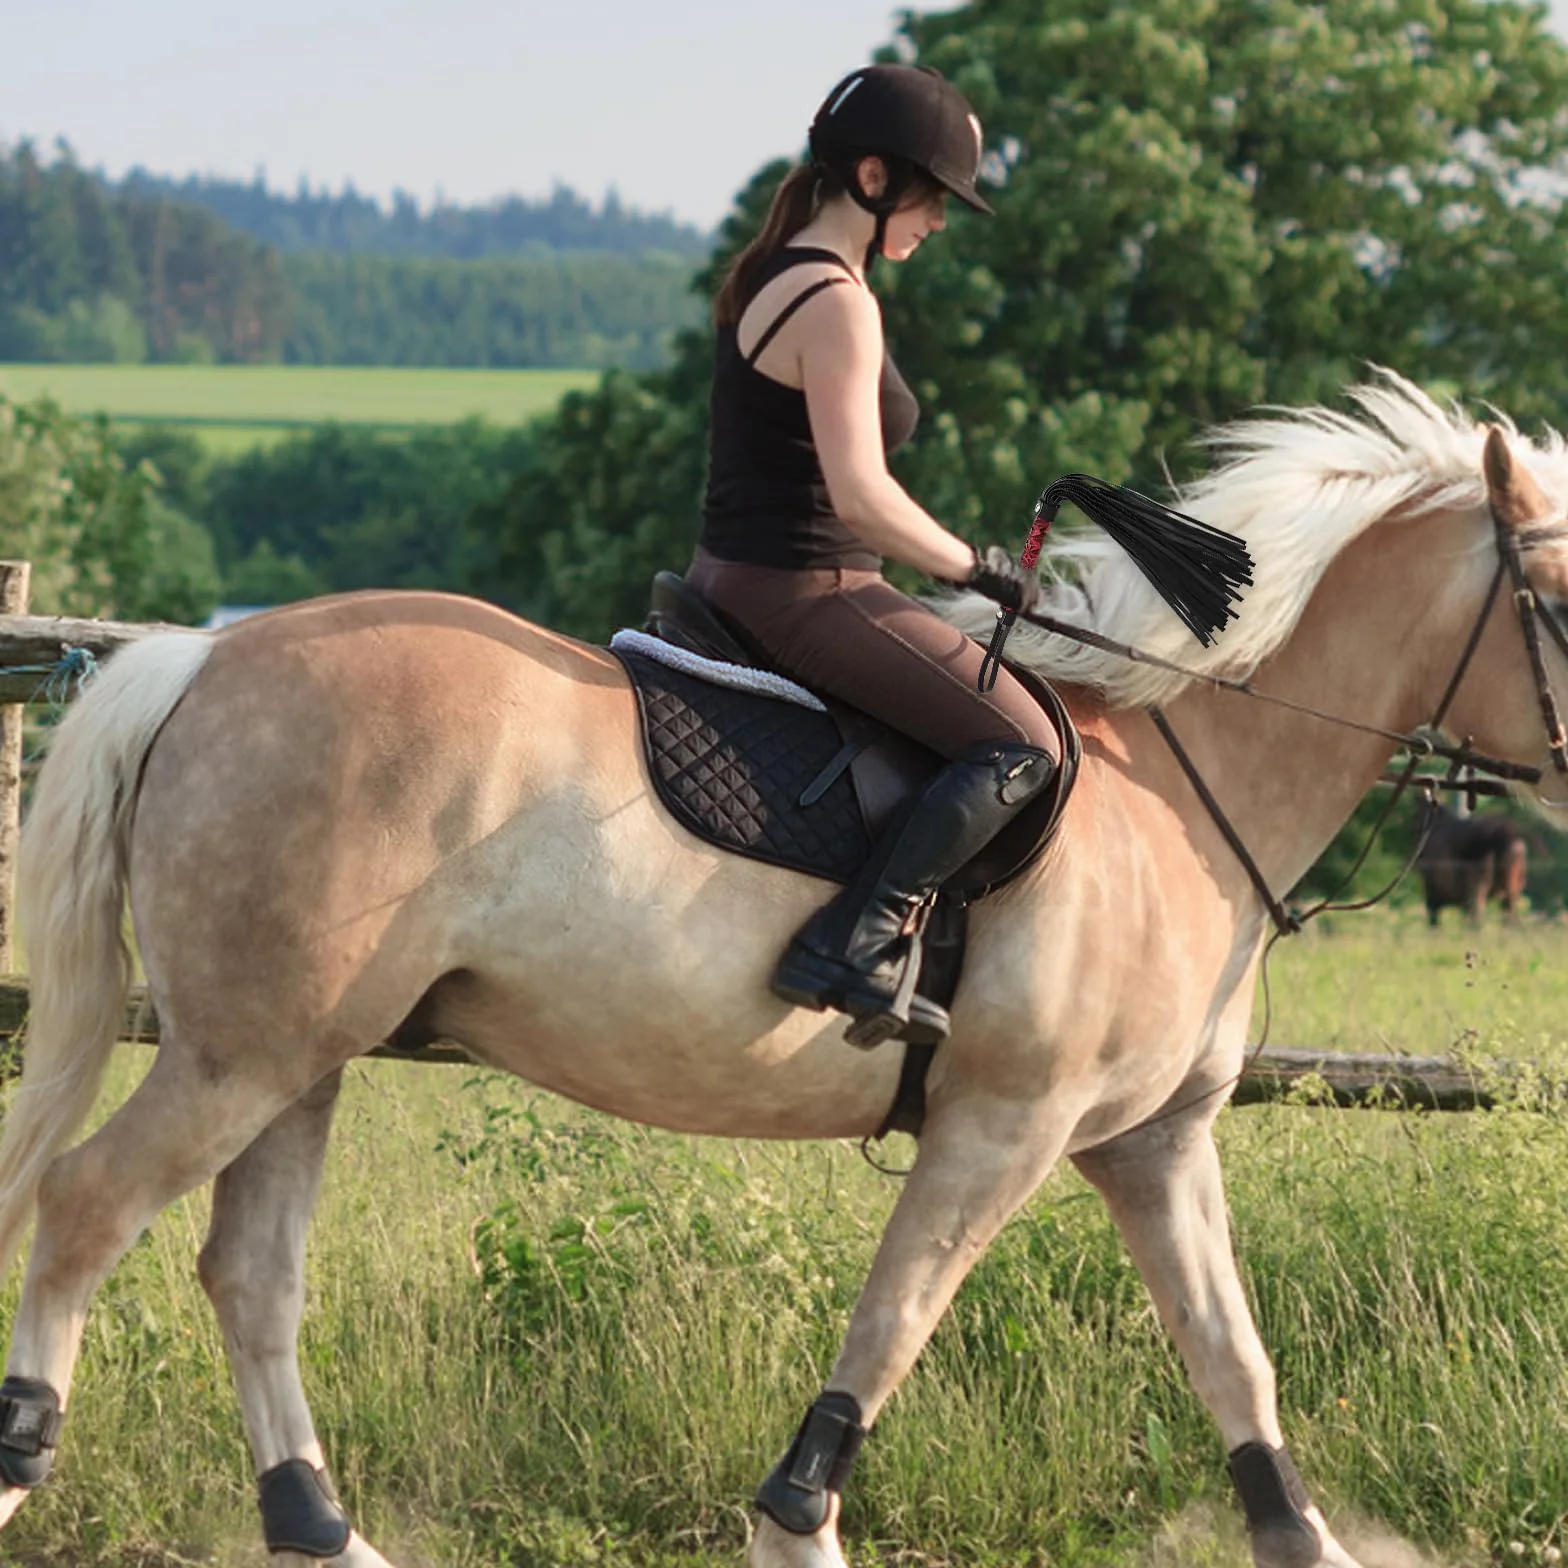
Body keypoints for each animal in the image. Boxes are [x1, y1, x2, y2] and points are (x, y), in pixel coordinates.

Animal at [0, 371, 1566, 1568]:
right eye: (1554, 597)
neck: (1178, 783)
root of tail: (202, 663)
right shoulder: (1004, 1126)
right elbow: (893, 1324)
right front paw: (794, 1528)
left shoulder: (1152, 1143)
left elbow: (1233, 1360)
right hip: (241, 1055)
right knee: (84, 1207)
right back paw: (27, 1465)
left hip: (298, 1058)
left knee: (249, 1275)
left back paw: (325, 1531)